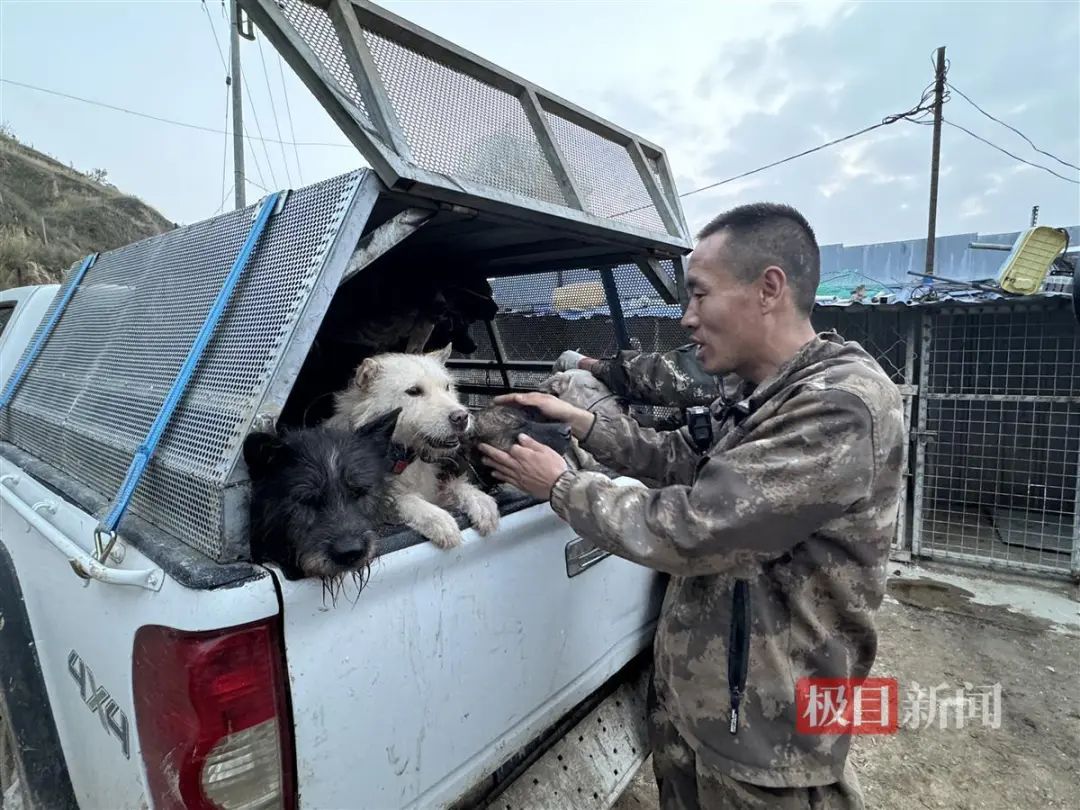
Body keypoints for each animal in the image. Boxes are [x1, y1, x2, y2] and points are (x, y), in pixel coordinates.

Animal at [326, 345, 498, 548]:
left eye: (447, 387)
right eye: (414, 391)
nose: (461, 417)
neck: (403, 456)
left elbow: (456, 486)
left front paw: (480, 501)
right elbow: (404, 500)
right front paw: (438, 519)